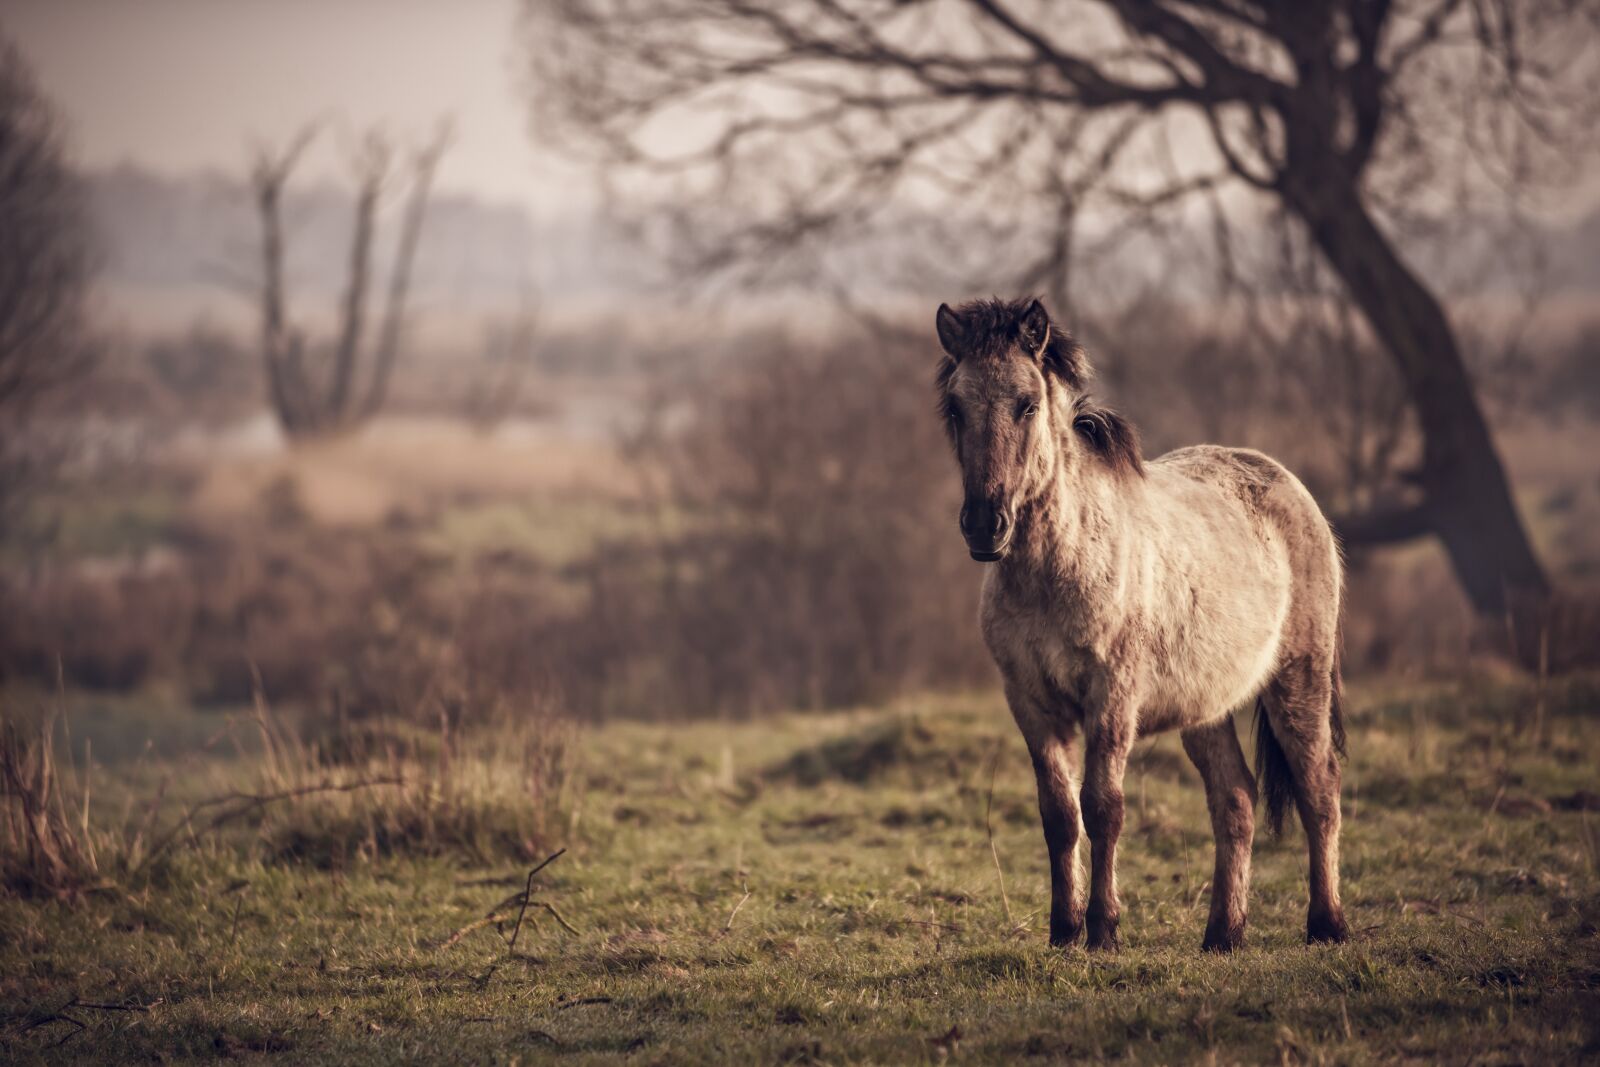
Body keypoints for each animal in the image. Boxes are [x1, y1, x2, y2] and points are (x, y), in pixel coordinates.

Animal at [933, 296, 1348, 953]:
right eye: (956, 406)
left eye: (1027, 403)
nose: (983, 524)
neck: (1055, 568)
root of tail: (1287, 484)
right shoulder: (1030, 703)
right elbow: (1059, 815)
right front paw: (1063, 931)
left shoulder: (1113, 698)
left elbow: (1104, 807)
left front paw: (1103, 931)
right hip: (1207, 708)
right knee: (1235, 799)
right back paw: (1223, 934)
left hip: (1298, 681)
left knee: (1319, 791)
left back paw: (1327, 925)